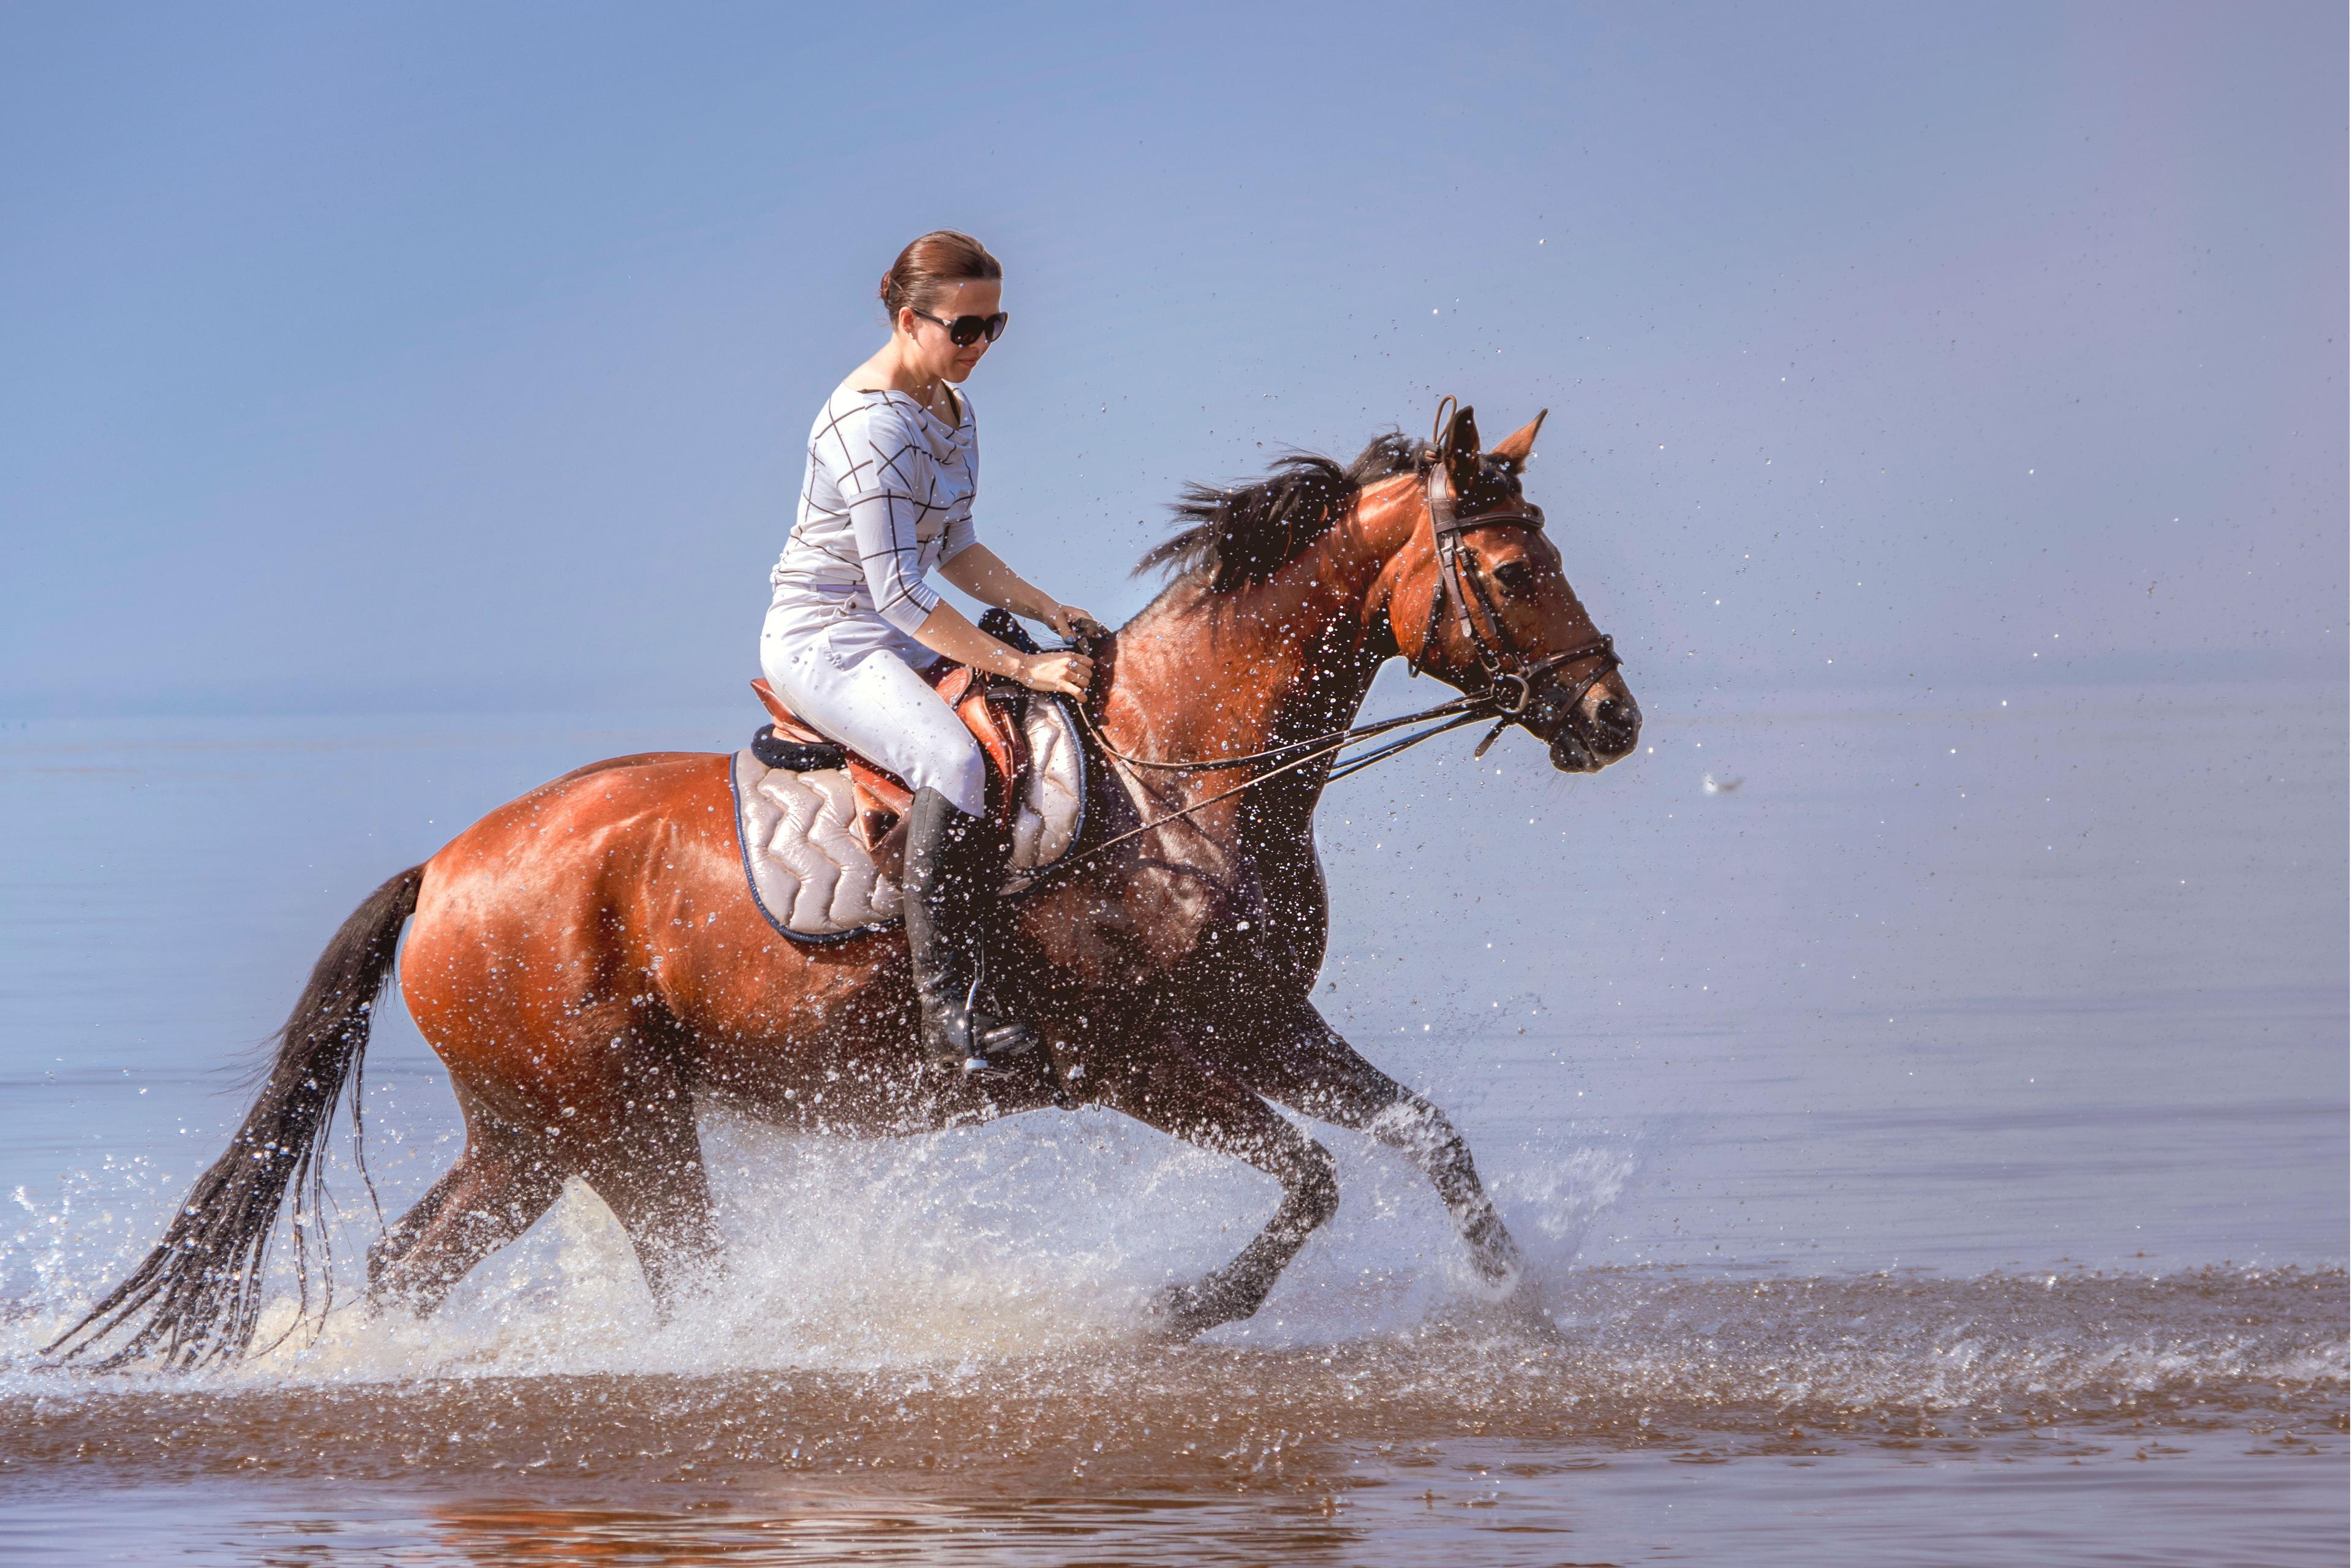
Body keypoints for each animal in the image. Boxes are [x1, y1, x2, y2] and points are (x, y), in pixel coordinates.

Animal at [51, 402, 1642, 1368]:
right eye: (1511, 570)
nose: (1613, 717)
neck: (1179, 767)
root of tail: (444, 868)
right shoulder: (1135, 1057)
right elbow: (1310, 1179)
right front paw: (1176, 1307)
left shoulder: (1257, 1022)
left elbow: (1427, 1135)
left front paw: (1518, 1304)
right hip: (621, 1119)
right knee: (683, 1278)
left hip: (530, 1133)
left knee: (409, 1265)